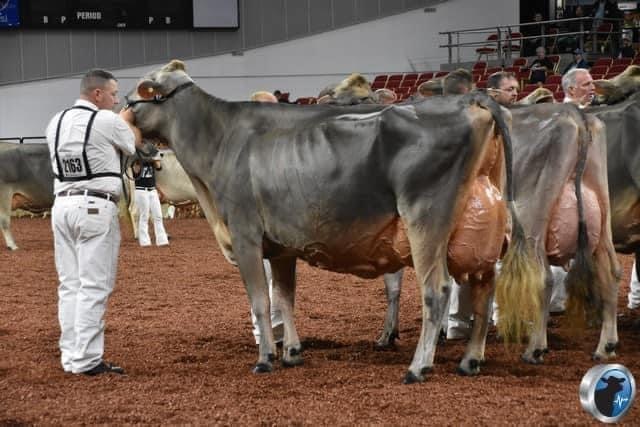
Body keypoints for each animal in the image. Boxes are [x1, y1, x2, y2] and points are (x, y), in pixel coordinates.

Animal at [125, 60, 533, 383]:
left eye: (135, 98)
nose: (140, 143)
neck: (218, 140)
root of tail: (471, 99)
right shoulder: (281, 246)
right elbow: (284, 298)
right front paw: (292, 353)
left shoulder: (244, 235)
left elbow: (260, 301)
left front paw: (266, 358)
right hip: (482, 230)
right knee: (485, 287)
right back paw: (470, 360)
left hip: (426, 220)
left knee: (438, 290)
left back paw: (419, 367)